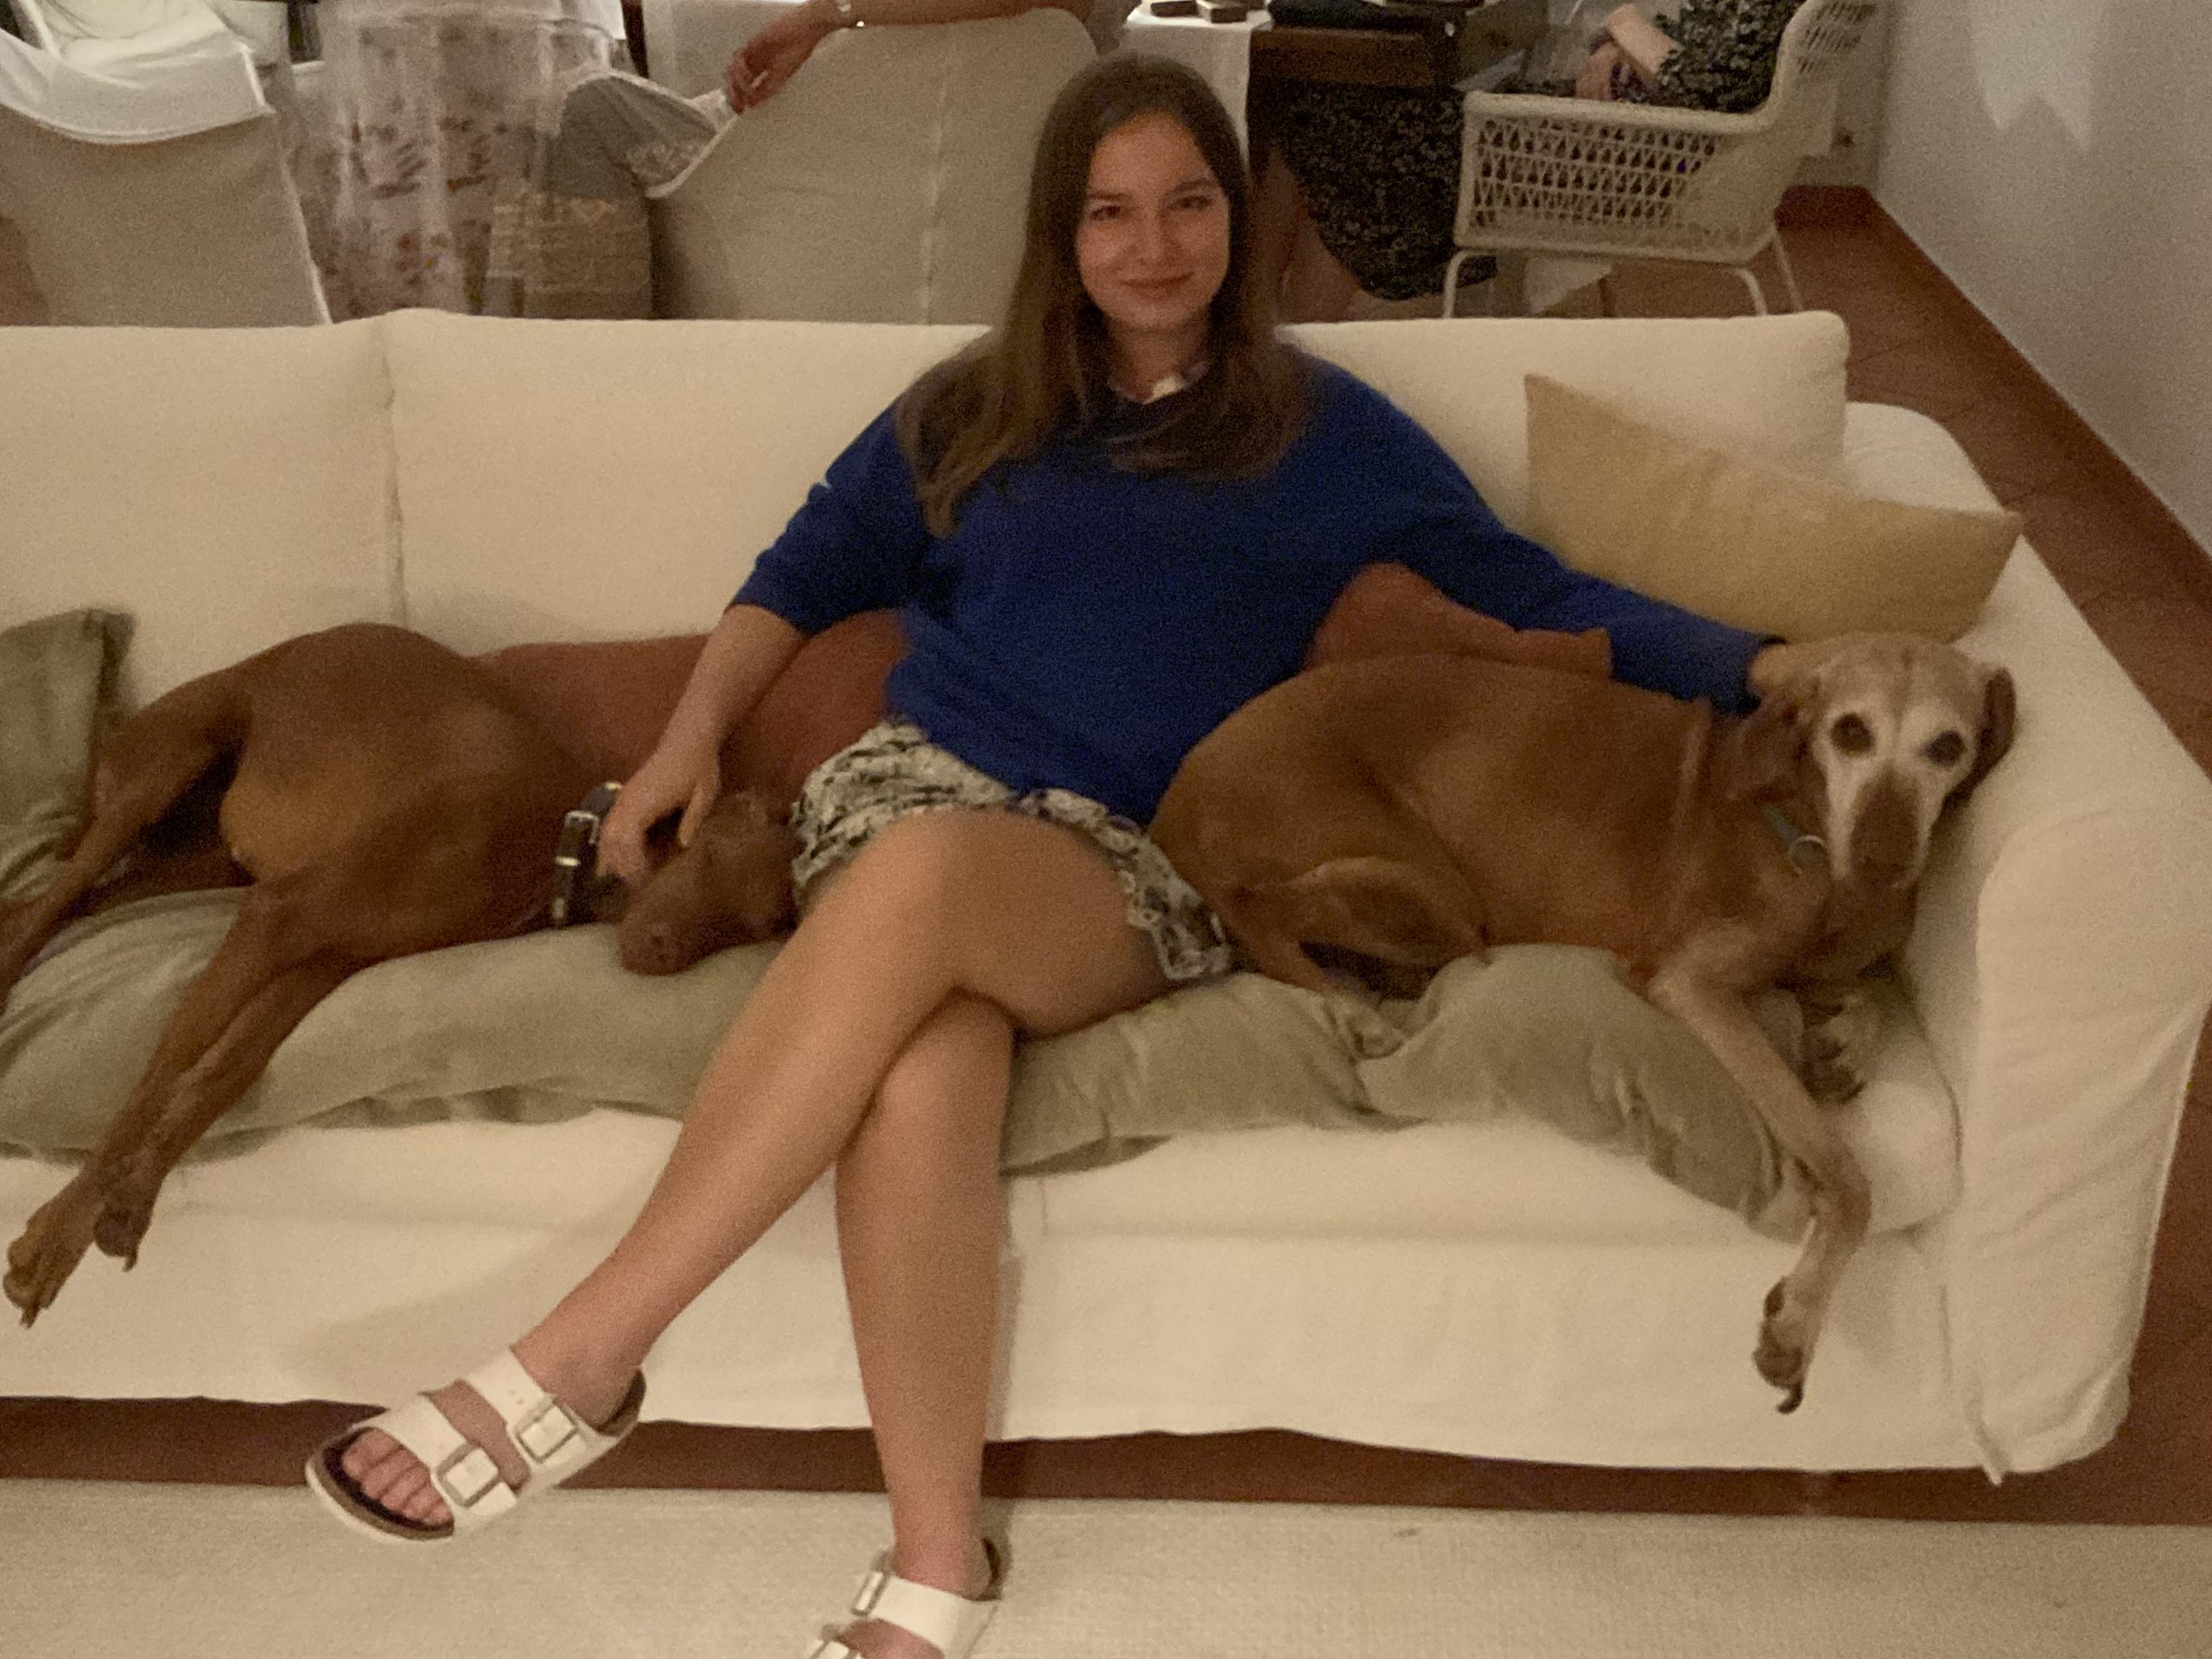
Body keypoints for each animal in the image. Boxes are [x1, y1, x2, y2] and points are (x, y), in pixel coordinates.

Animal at [0, 615, 900, 1323]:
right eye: (706, 851)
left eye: (756, 928)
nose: (659, 951)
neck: (549, 843)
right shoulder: (279, 919)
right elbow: (159, 1073)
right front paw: (61, 1229)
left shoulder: (319, 957)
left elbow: (218, 1073)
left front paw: (131, 1198)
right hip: (167, 771)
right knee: (54, 895)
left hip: (201, 863)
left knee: (56, 900)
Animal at [1150, 631, 2017, 1411]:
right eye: (1850, 731)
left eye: (1947, 746)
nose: (1884, 862)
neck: (1806, 837)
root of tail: (1177, 798)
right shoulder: (1693, 984)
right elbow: (1847, 1174)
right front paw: (1798, 1321)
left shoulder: (1826, 968)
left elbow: (1861, 1000)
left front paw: (1842, 1048)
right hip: (1430, 892)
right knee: (1259, 911)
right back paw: (1355, 1014)